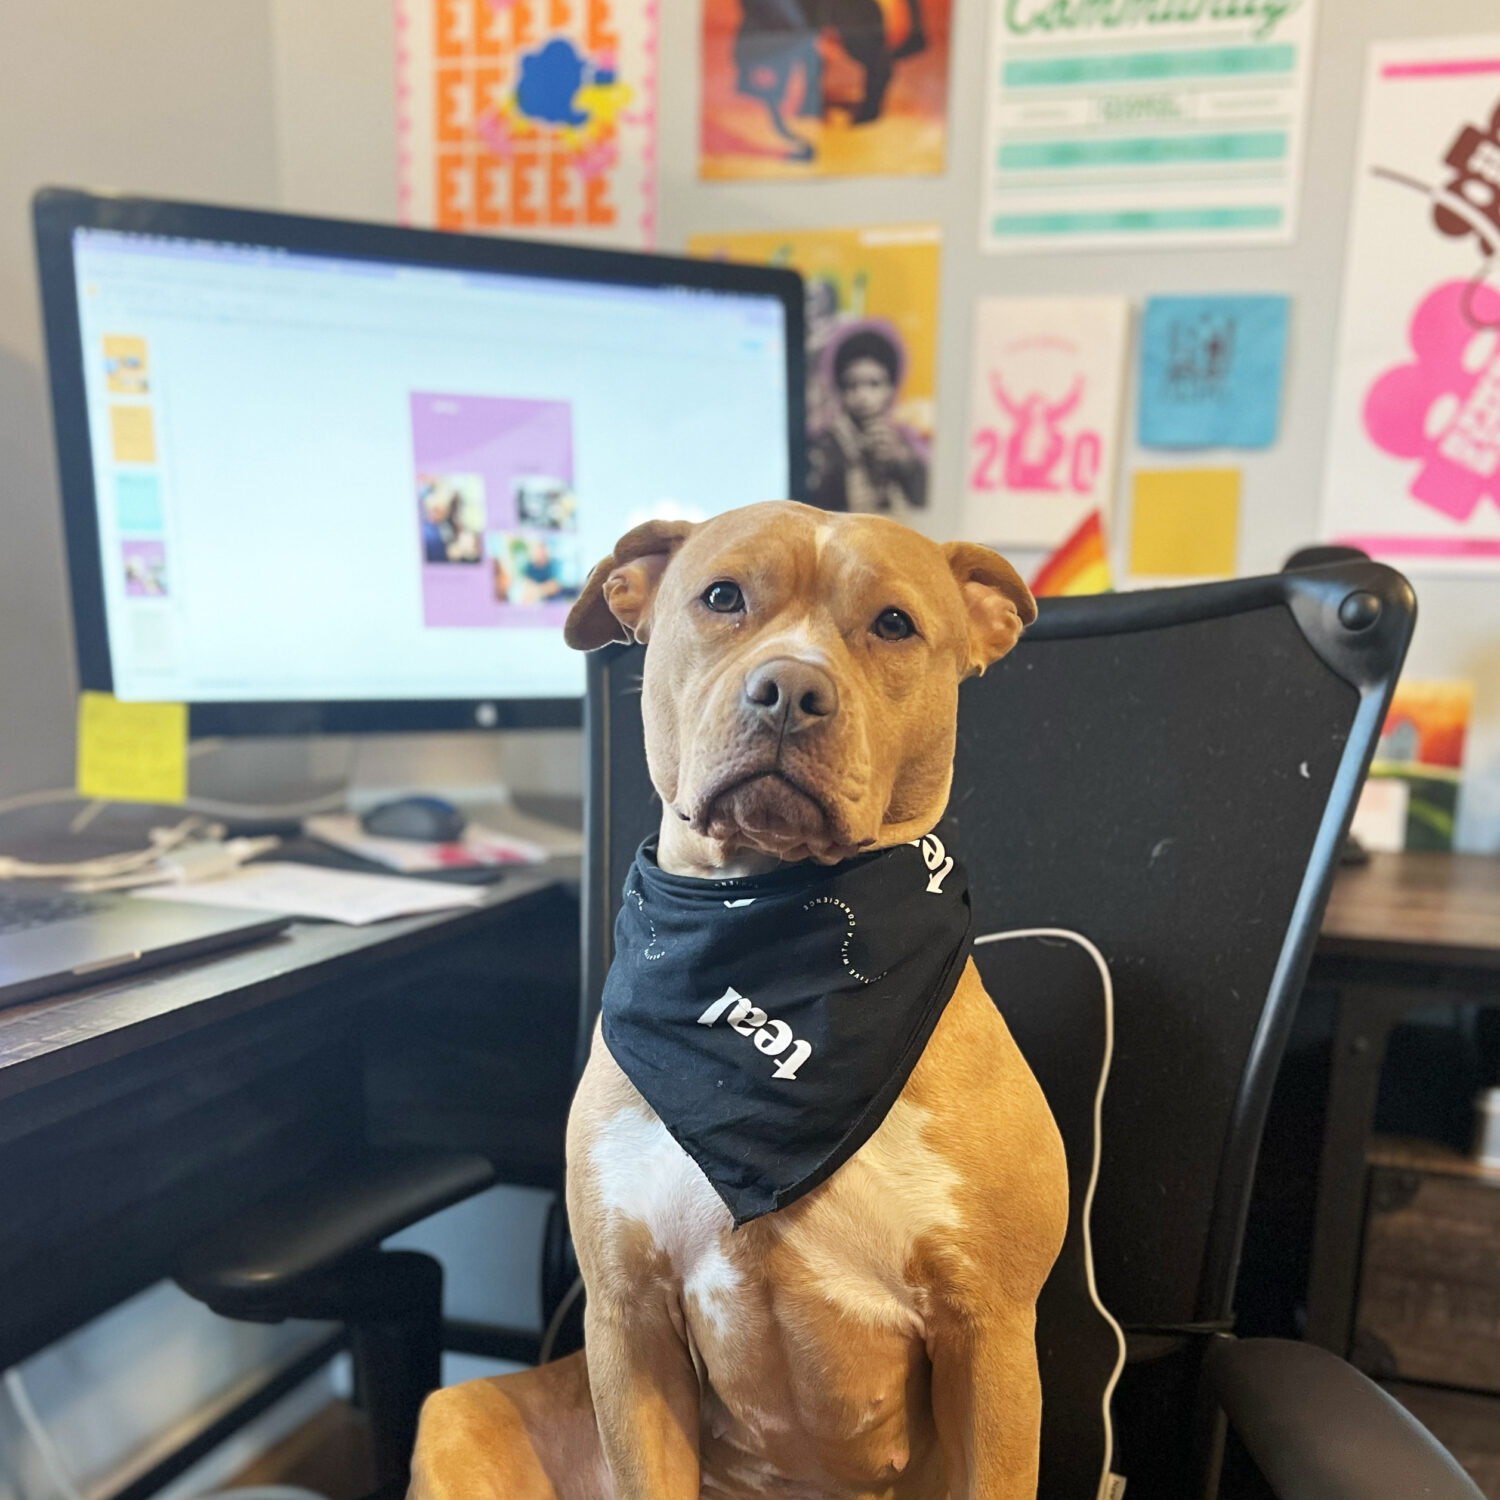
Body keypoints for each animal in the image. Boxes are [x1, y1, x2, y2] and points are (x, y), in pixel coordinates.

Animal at [408, 501, 1068, 1500]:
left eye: (894, 624)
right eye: (722, 597)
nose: (789, 689)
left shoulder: (990, 1342)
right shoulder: (628, 1321)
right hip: (455, 1418)